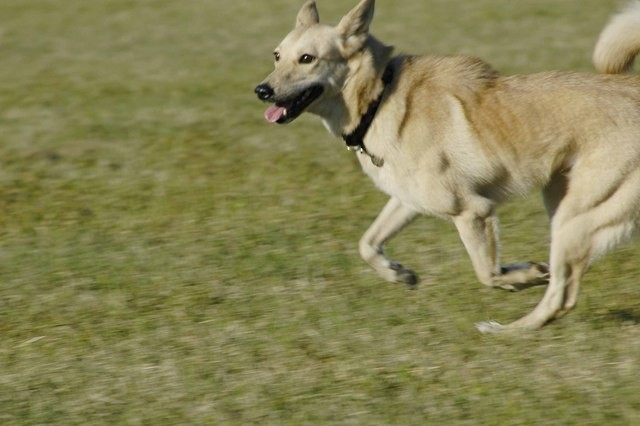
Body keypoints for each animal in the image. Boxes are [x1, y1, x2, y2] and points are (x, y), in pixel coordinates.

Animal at [255, 0, 640, 332]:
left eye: (307, 58)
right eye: (277, 55)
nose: (261, 90)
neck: (379, 97)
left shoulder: (472, 212)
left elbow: (489, 273)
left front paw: (526, 275)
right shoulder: (408, 200)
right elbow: (367, 243)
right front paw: (398, 273)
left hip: (573, 218)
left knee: (560, 297)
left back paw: (505, 331)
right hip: (564, 203)